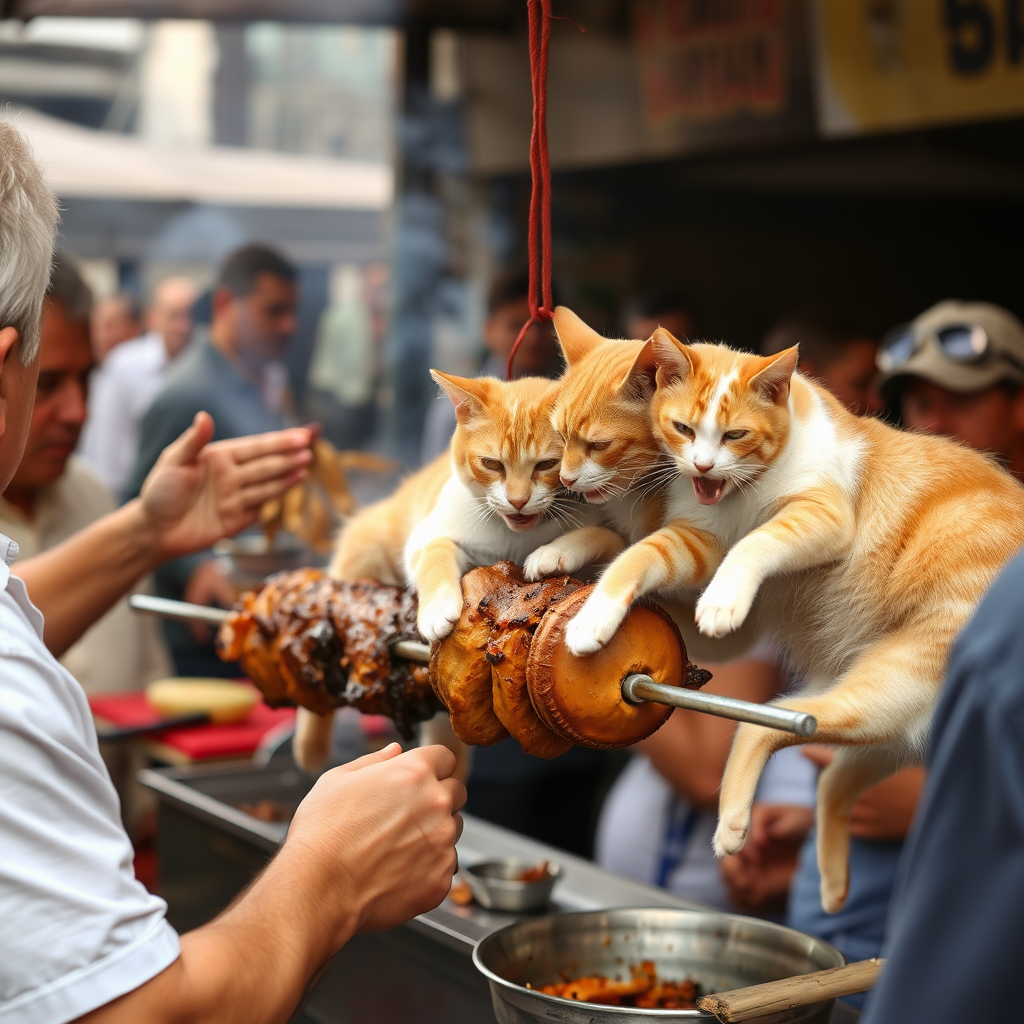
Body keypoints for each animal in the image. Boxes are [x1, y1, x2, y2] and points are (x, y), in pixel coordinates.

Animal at [294, 372, 577, 770]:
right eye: (491, 464)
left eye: (547, 464)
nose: (518, 501)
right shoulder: (428, 536)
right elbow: (436, 556)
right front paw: (438, 609)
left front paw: (556, 554)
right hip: (361, 556)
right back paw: (311, 746)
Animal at [565, 329, 1024, 913]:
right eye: (683, 429)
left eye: (736, 434)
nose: (704, 468)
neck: (743, 492)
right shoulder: (699, 552)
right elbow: (630, 554)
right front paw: (571, 572)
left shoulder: (822, 515)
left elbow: (754, 544)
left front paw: (720, 599)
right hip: (898, 730)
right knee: (832, 781)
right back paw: (833, 887)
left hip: (894, 686)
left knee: (764, 725)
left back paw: (734, 823)